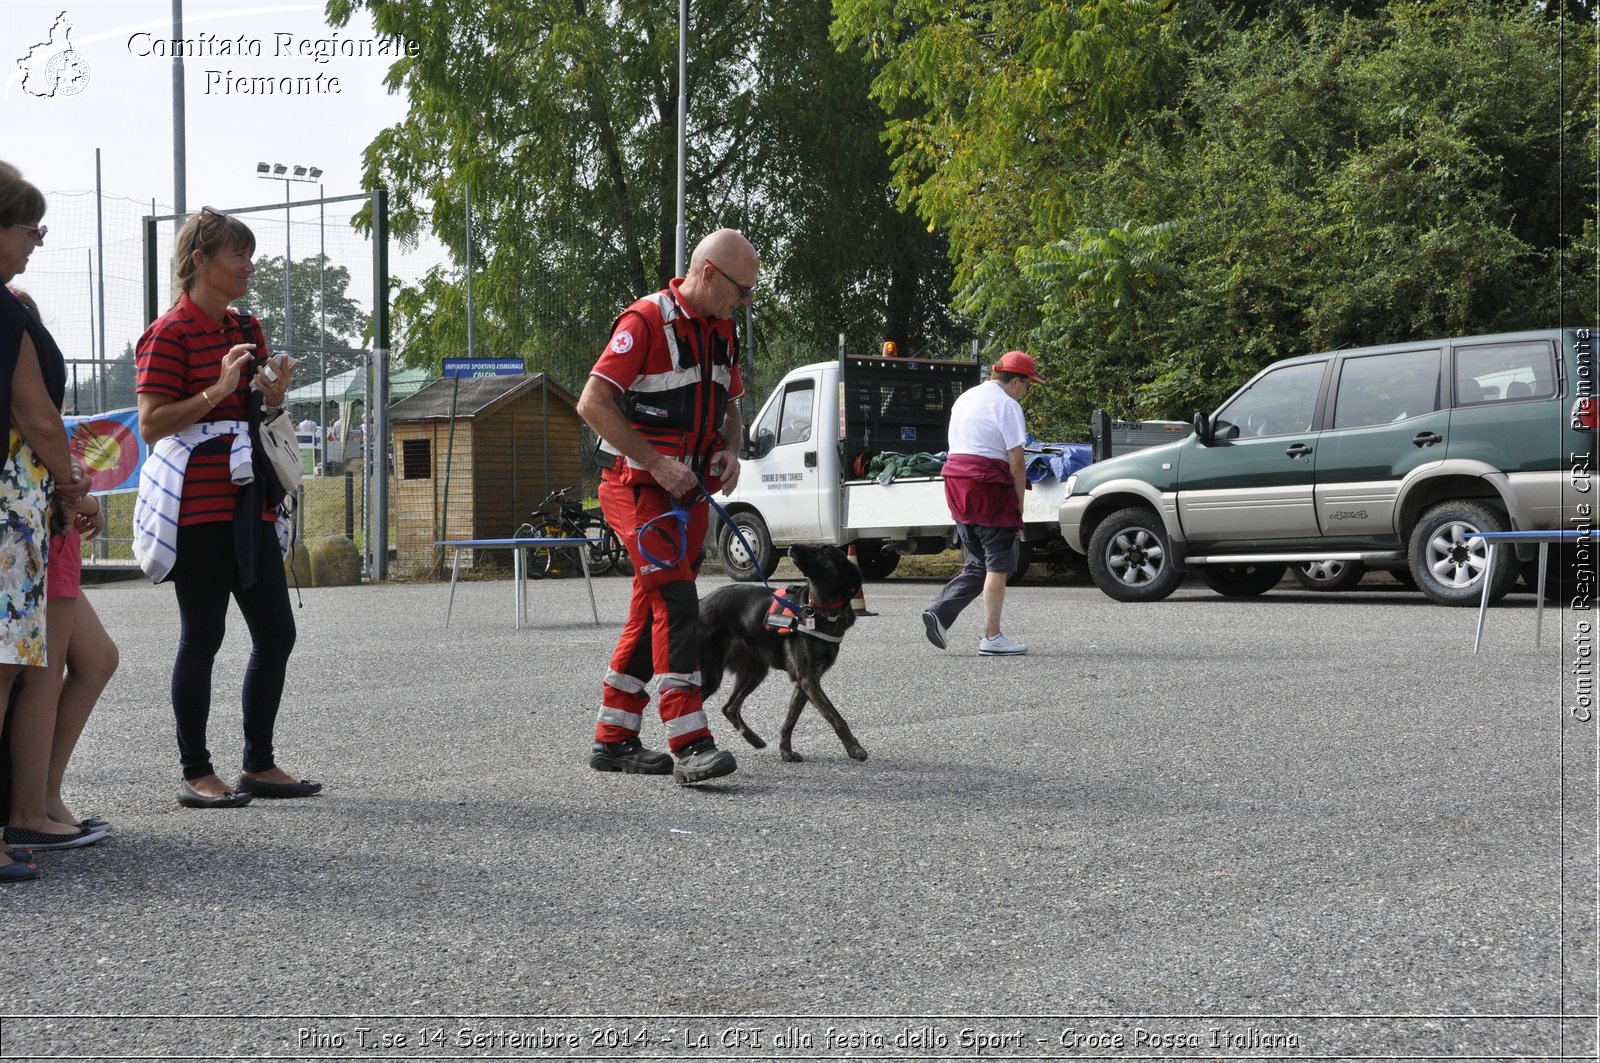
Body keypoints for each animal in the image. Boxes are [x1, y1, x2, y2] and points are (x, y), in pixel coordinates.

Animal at [700, 544, 870, 758]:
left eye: (824, 551)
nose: (792, 546)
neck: (823, 611)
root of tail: (700, 601)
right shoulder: (808, 680)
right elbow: (835, 717)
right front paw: (855, 748)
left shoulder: (805, 680)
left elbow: (790, 720)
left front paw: (785, 750)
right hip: (711, 675)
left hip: (754, 672)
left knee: (729, 707)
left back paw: (753, 739)